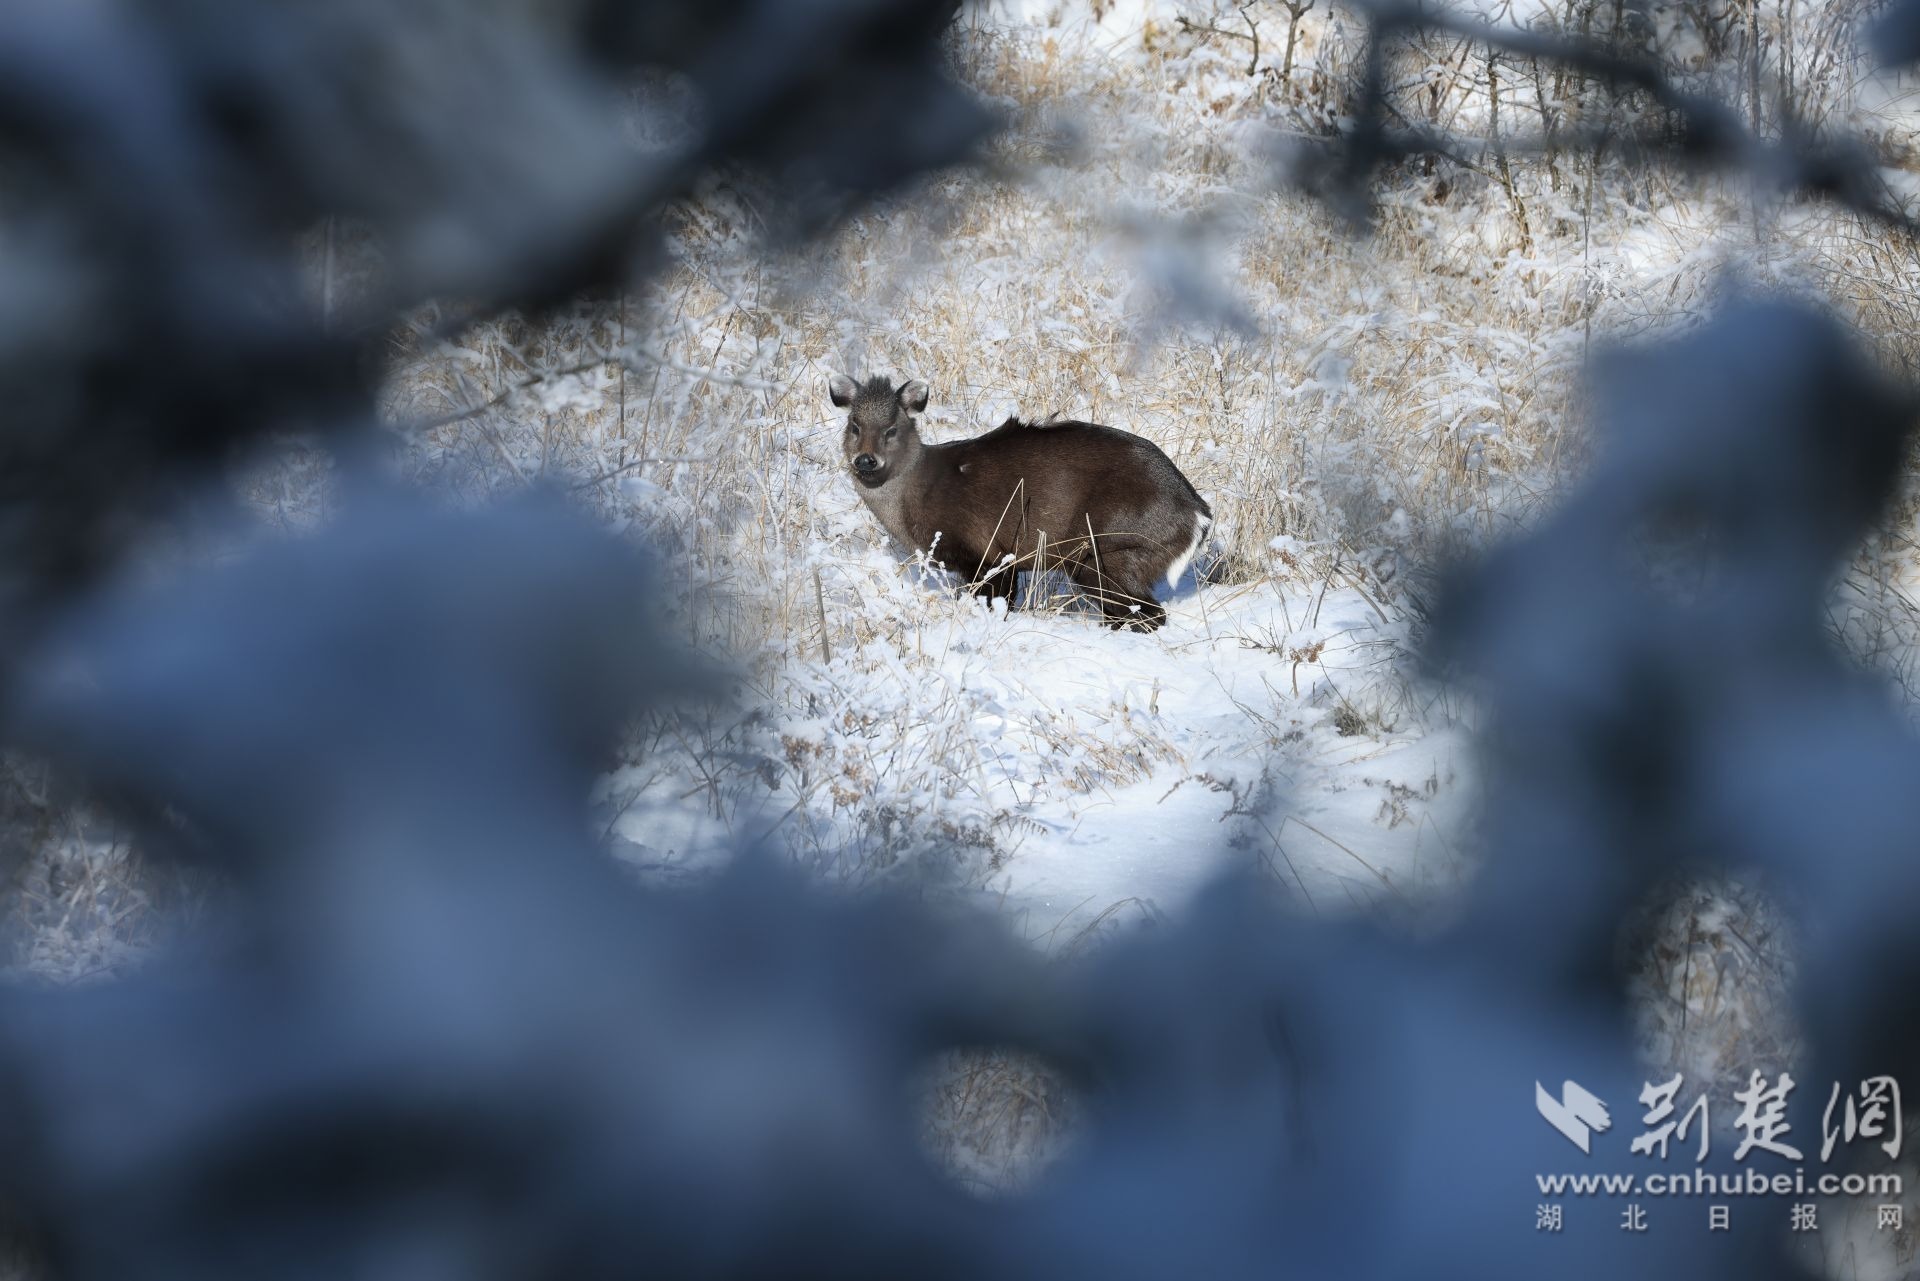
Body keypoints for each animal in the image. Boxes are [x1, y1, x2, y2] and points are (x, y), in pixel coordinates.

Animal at [829, 370, 1213, 629]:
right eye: (854, 425)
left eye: (892, 428)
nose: (865, 460)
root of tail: (1199, 515)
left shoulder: (988, 553)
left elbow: (995, 604)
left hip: (1108, 551)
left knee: (1149, 615)